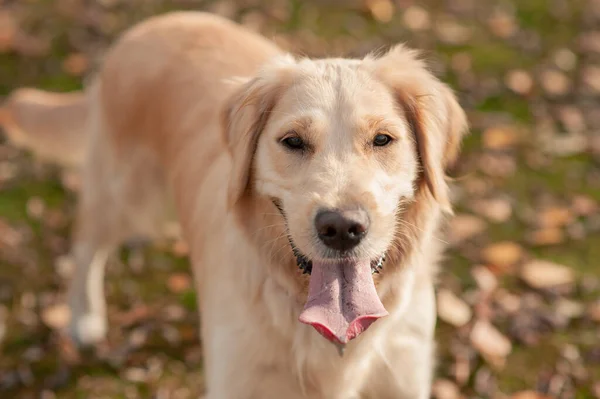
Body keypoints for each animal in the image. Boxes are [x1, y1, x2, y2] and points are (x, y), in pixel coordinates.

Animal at [0, 10, 468, 398]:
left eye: (383, 139)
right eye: (292, 141)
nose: (341, 228)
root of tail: (144, 28)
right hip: (127, 197)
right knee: (85, 244)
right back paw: (84, 317)